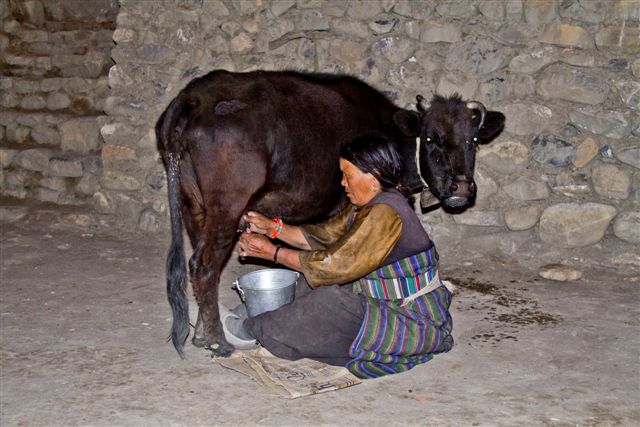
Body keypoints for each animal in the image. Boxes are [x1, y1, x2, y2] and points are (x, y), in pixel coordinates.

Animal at [156, 70, 504, 358]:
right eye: (431, 138)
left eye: (473, 140)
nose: (461, 186)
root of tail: (192, 97)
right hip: (226, 205)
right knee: (204, 265)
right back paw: (217, 342)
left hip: (194, 206)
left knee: (199, 265)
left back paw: (201, 334)